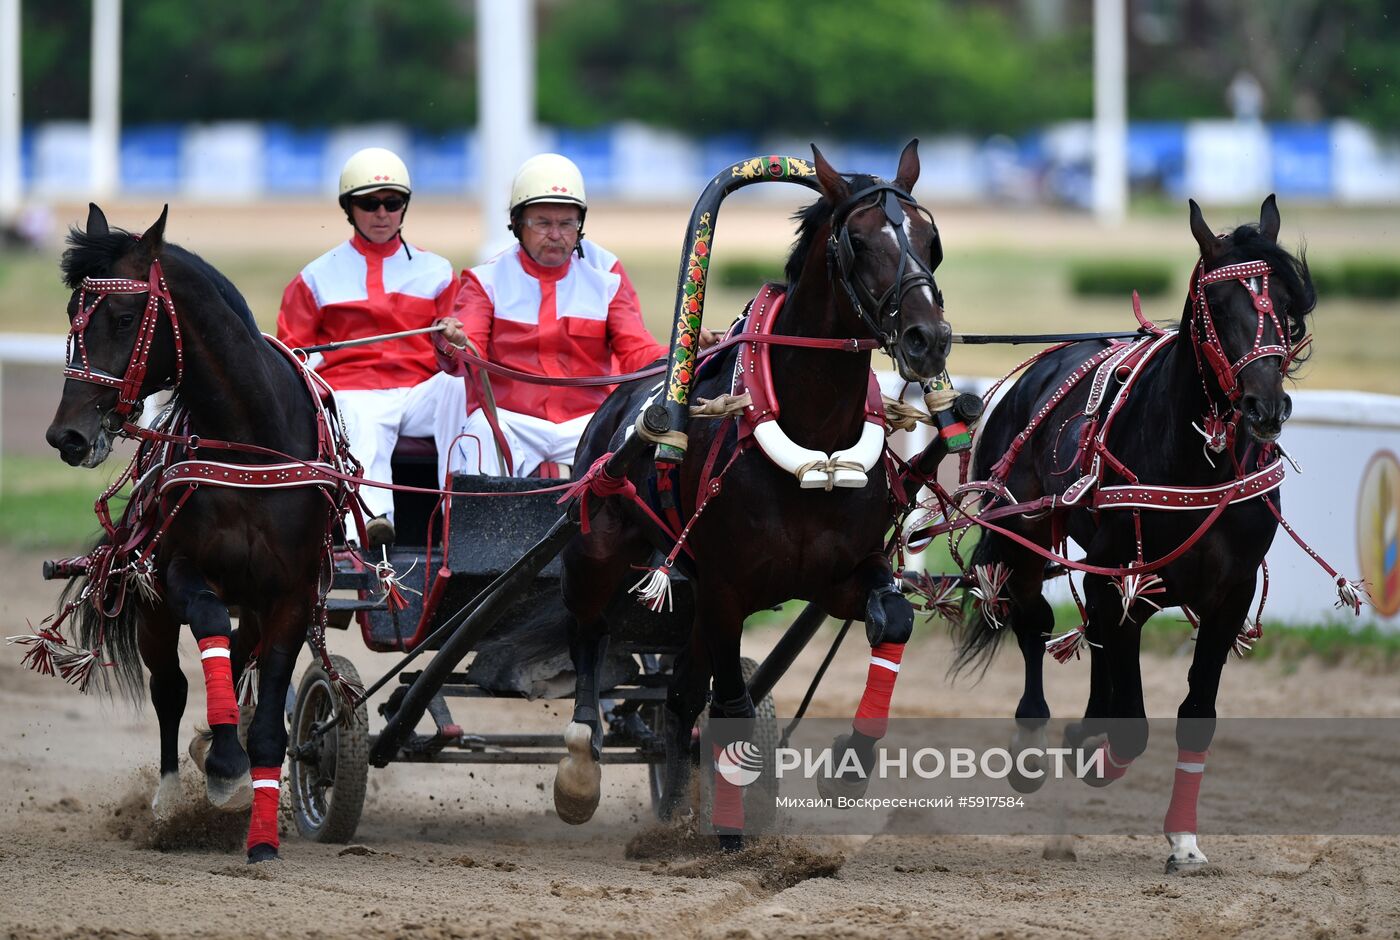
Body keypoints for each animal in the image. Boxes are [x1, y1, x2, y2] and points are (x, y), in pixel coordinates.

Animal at [46, 204, 336, 862]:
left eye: (124, 317)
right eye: (72, 314)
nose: (66, 436)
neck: (250, 447)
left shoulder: (292, 593)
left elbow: (272, 714)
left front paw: (260, 833)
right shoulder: (172, 571)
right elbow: (203, 624)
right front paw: (224, 763)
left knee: (243, 655)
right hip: (152, 612)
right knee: (171, 688)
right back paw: (172, 795)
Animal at [546, 141, 952, 846]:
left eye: (932, 241)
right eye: (860, 242)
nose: (928, 339)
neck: (813, 436)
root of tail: (626, 400)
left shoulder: (842, 574)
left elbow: (893, 618)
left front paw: (849, 766)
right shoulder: (726, 586)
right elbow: (732, 702)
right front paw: (733, 832)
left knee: (679, 698)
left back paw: (675, 810)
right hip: (598, 549)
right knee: (590, 632)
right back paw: (581, 764)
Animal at [957, 198, 1316, 874]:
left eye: (1285, 303)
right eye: (1215, 306)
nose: (1265, 407)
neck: (1195, 463)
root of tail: (1036, 371)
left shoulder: (1228, 594)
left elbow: (1195, 715)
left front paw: (1184, 840)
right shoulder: (1121, 575)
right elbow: (1132, 721)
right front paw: (1093, 754)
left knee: (1093, 635)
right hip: (1022, 530)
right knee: (1033, 618)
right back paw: (1035, 740)